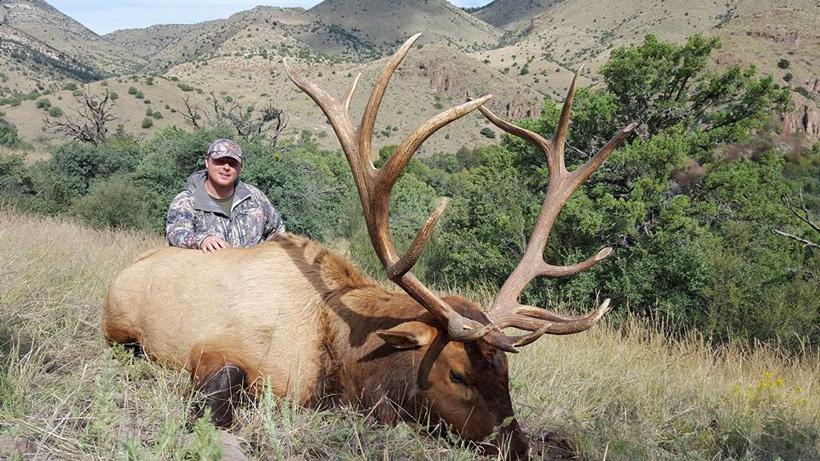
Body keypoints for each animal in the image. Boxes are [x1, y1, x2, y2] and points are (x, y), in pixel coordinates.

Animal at [102, 33, 635, 459]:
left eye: (506, 373)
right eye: (457, 375)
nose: (518, 446)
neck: (341, 355)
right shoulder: (219, 350)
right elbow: (219, 392)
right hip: (117, 326)